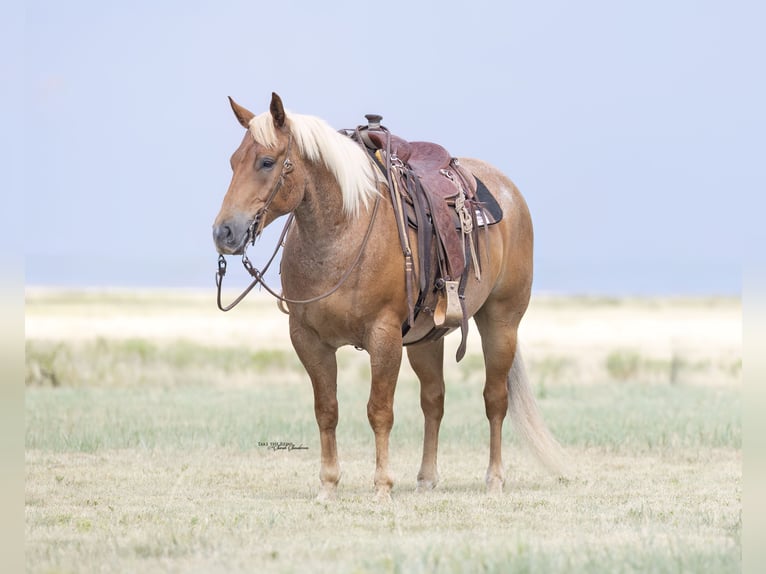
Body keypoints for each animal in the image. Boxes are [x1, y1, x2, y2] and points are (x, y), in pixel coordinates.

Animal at [212, 92, 563, 501]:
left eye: (267, 162)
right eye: (233, 161)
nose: (224, 232)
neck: (343, 233)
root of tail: (507, 191)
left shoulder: (384, 337)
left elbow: (379, 410)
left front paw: (382, 486)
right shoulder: (308, 339)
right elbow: (326, 410)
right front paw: (328, 485)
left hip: (501, 321)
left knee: (495, 400)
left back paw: (494, 479)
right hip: (426, 339)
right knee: (434, 400)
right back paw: (426, 477)